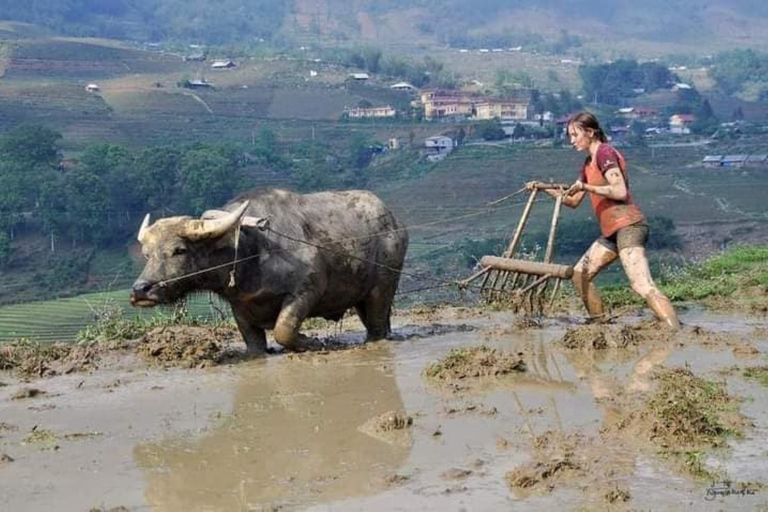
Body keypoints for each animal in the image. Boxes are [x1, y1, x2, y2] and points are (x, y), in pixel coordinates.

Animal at [132, 188, 408, 352]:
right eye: (147, 253)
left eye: (179, 250)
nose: (140, 290)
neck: (250, 252)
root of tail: (395, 223)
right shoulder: (240, 307)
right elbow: (254, 343)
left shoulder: (307, 289)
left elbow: (283, 330)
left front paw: (311, 342)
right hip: (360, 294)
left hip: (384, 285)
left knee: (376, 324)